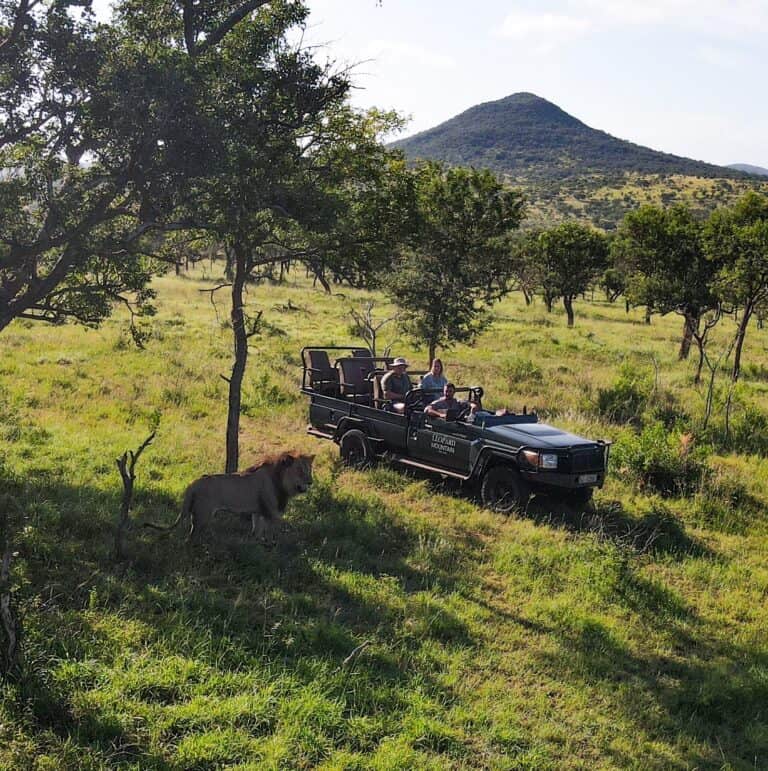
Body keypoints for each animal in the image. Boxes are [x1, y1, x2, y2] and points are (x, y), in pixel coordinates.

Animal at [145, 452, 314, 542]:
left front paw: (256, 543)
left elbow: (257, 530)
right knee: (191, 536)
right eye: (300, 471)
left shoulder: (258, 512)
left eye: (309, 470)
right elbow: (274, 532)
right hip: (203, 515)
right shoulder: (271, 513)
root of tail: (192, 484)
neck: (280, 479)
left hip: (197, 514)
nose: (311, 482)